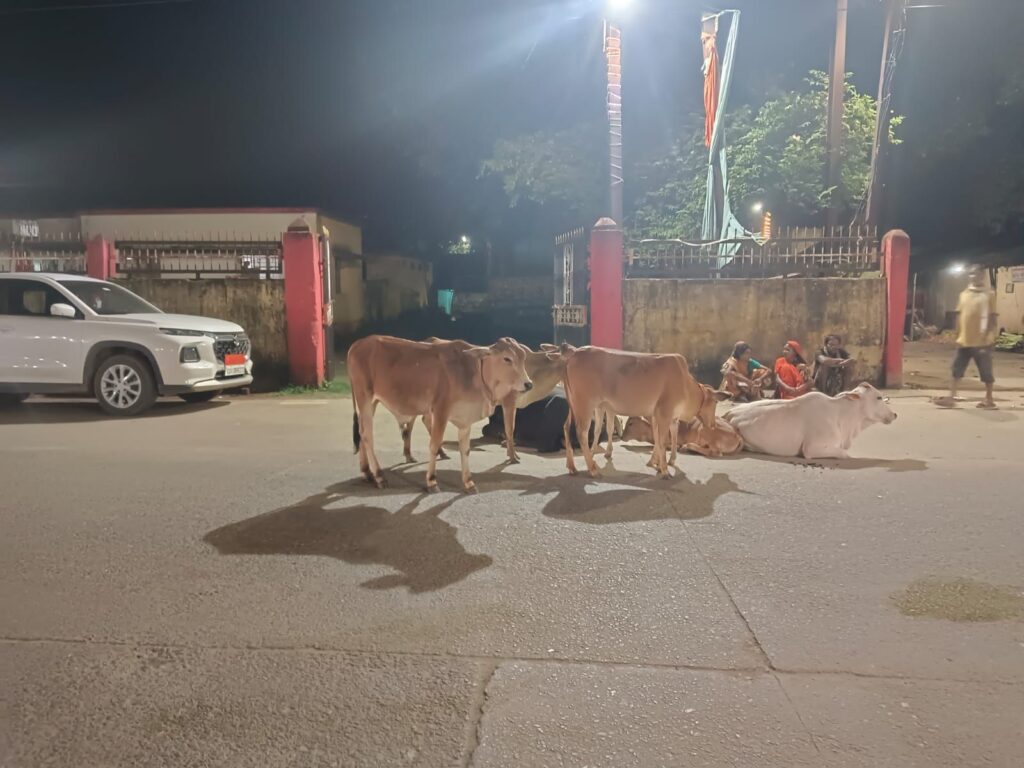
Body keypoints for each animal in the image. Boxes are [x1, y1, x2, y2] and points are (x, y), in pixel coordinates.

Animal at [347, 335, 532, 492]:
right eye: (507, 358)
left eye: (524, 358)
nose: (528, 384)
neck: (473, 373)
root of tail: (358, 344)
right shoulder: (441, 410)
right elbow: (434, 444)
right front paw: (431, 481)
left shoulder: (465, 418)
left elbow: (465, 449)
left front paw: (468, 482)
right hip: (364, 397)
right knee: (367, 435)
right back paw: (379, 476)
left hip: (371, 402)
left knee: (362, 433)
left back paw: (367, 473)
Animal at [560, 346, 714, 477]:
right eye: (714, 403)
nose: (712, 424)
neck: (686, 383)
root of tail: (576, 352)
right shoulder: (665, 413)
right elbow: (663, 441)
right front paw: (664, 469)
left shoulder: (658, 415)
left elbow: (658, 438)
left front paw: (656, 463)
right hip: (584, 404)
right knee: (581, 432)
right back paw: (592, 469)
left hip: (574, 404)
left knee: (567, 427)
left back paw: (572, 467)